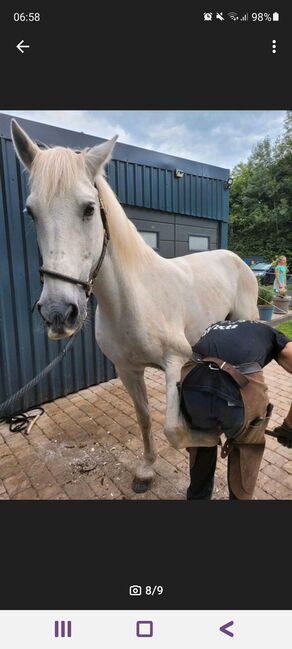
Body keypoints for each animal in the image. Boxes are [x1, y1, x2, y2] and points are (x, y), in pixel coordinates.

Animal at [11, 120, 258, 492]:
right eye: (31, 212)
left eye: (88, 208)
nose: (58, 313)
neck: (133, 301)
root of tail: (236, 258)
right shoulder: (128, 370)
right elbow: (144, 419)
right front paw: (146, 469)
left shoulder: (174, 361)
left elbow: (173, 428)